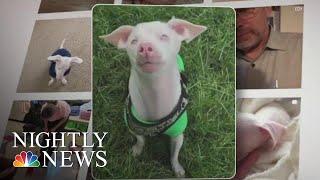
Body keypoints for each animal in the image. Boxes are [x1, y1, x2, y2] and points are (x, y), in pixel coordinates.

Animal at [100, 18, 208, 177]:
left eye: (164, 36)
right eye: (134, 41)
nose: (144, 46)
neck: (154, 90)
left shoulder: (178, 134)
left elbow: (174, 154)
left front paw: (177, 169)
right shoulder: (133, 126)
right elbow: (140, 140)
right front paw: (137, 150)